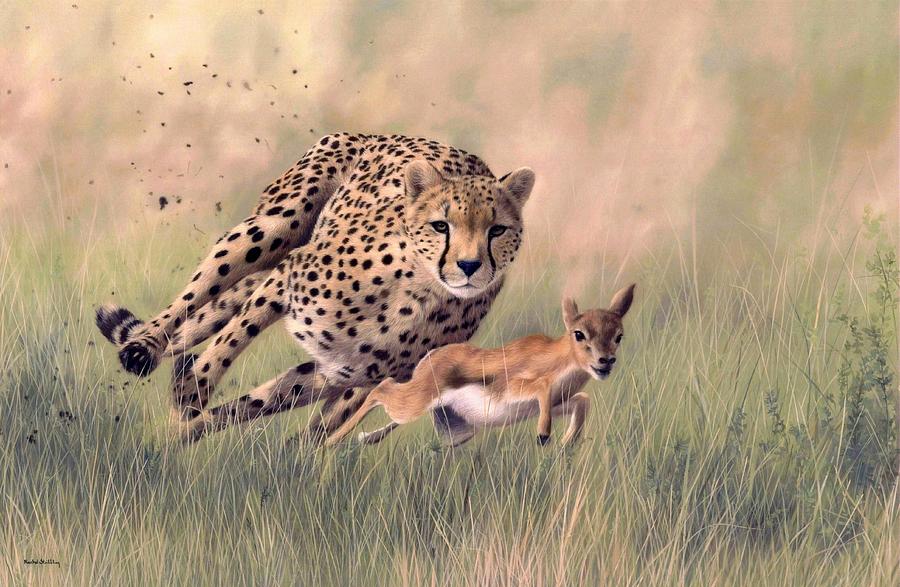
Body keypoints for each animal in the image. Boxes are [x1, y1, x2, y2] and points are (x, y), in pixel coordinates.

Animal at [95, 133, 535, 442]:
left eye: (497, 230)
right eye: (441, 226)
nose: (469, 266)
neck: (416, 294)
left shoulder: (344, 371)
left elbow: (261, 404)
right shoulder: (286, 277)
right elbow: (231, 340)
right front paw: (190, 394)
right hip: (270, 229)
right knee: (193, 299)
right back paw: (143, 348)